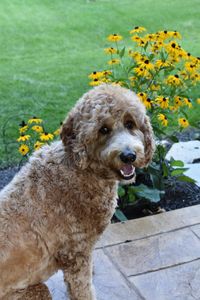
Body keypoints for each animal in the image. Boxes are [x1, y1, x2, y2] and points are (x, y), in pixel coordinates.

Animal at [0, 84, 155, 298]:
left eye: (130, 123)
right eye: (103, 129)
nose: (128, 156)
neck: (81, 169)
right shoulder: (76, 253)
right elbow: (83, 289)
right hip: (35, 291)